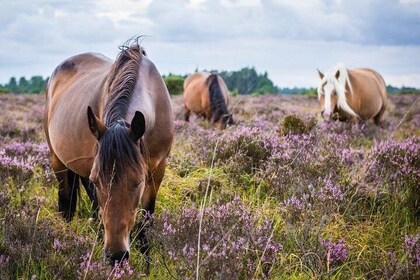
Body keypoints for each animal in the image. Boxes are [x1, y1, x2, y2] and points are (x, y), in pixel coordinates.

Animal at [46, 41, 176, 264]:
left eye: (137, 182)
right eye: (98, 181)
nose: (116, 256)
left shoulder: (158, 170)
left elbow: (145, 225)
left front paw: (148, 265)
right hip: (58, 162)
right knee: (67, 204)